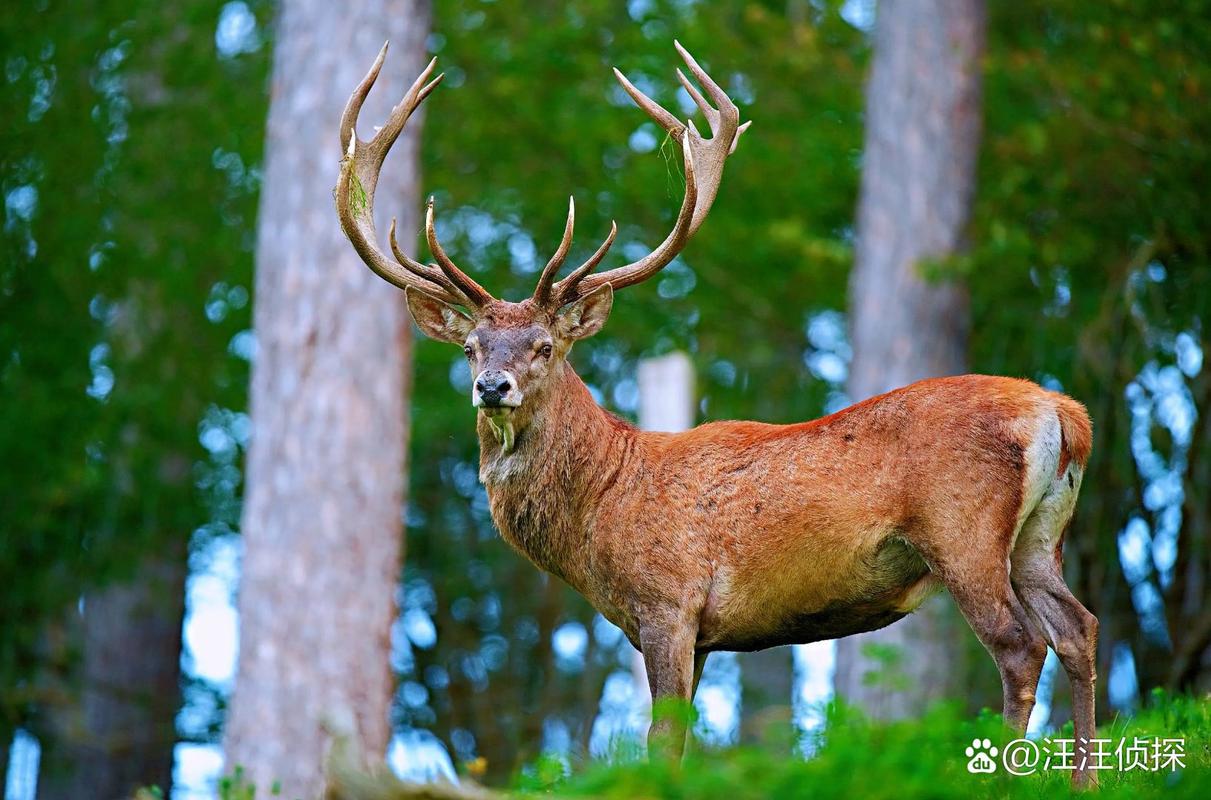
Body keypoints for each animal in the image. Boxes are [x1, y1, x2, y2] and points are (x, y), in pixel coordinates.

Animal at [336, 42, 1099, 783]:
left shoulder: (667, 604)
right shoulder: (698, 633)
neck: (603, 503)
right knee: (1077, 629)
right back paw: (1083, 777)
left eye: (545, 346)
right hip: (1039, 536)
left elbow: (661, 743)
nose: (492, 386)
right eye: (470, 347)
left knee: (1019, 645)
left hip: (962, 530)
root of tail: (1064, 413)